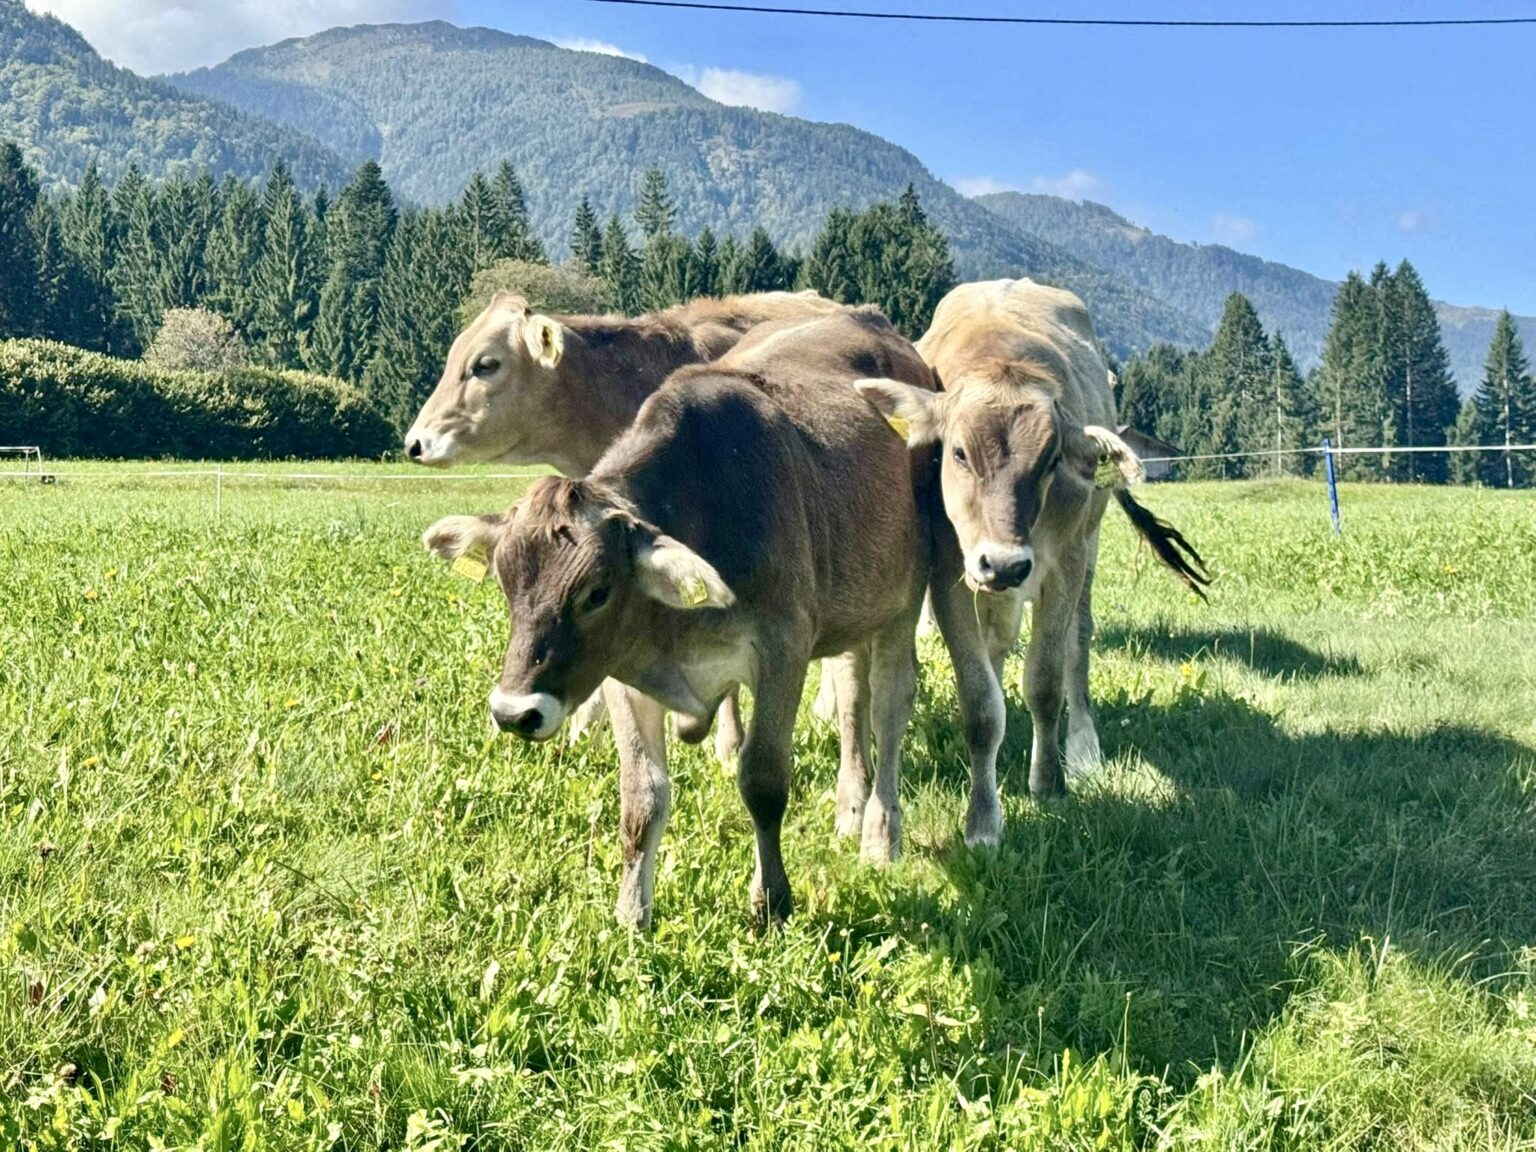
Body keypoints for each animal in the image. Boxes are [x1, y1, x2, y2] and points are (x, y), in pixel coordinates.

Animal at [422, 308, 939, 925]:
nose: (513, 712)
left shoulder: (783, 649)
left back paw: (880, 833)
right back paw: (850, 806)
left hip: (904, 599)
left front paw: (772, 901)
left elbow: (763, 780)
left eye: (597, 593)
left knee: (888, 708)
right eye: (504, 582)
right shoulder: (621, 674)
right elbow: (641, 796)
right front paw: (631, 914)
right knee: (852, 697)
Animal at [858, 279, 1209, 805]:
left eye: (1051, 460)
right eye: (958, 453)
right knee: (999, 645)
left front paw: (1048, 781)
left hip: (1087, 547)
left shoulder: (1062, 565)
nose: (1004, 564)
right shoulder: (951, 571)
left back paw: (1083, 747)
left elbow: (1045, 680)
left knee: (1078, 641)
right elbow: (980, 692)